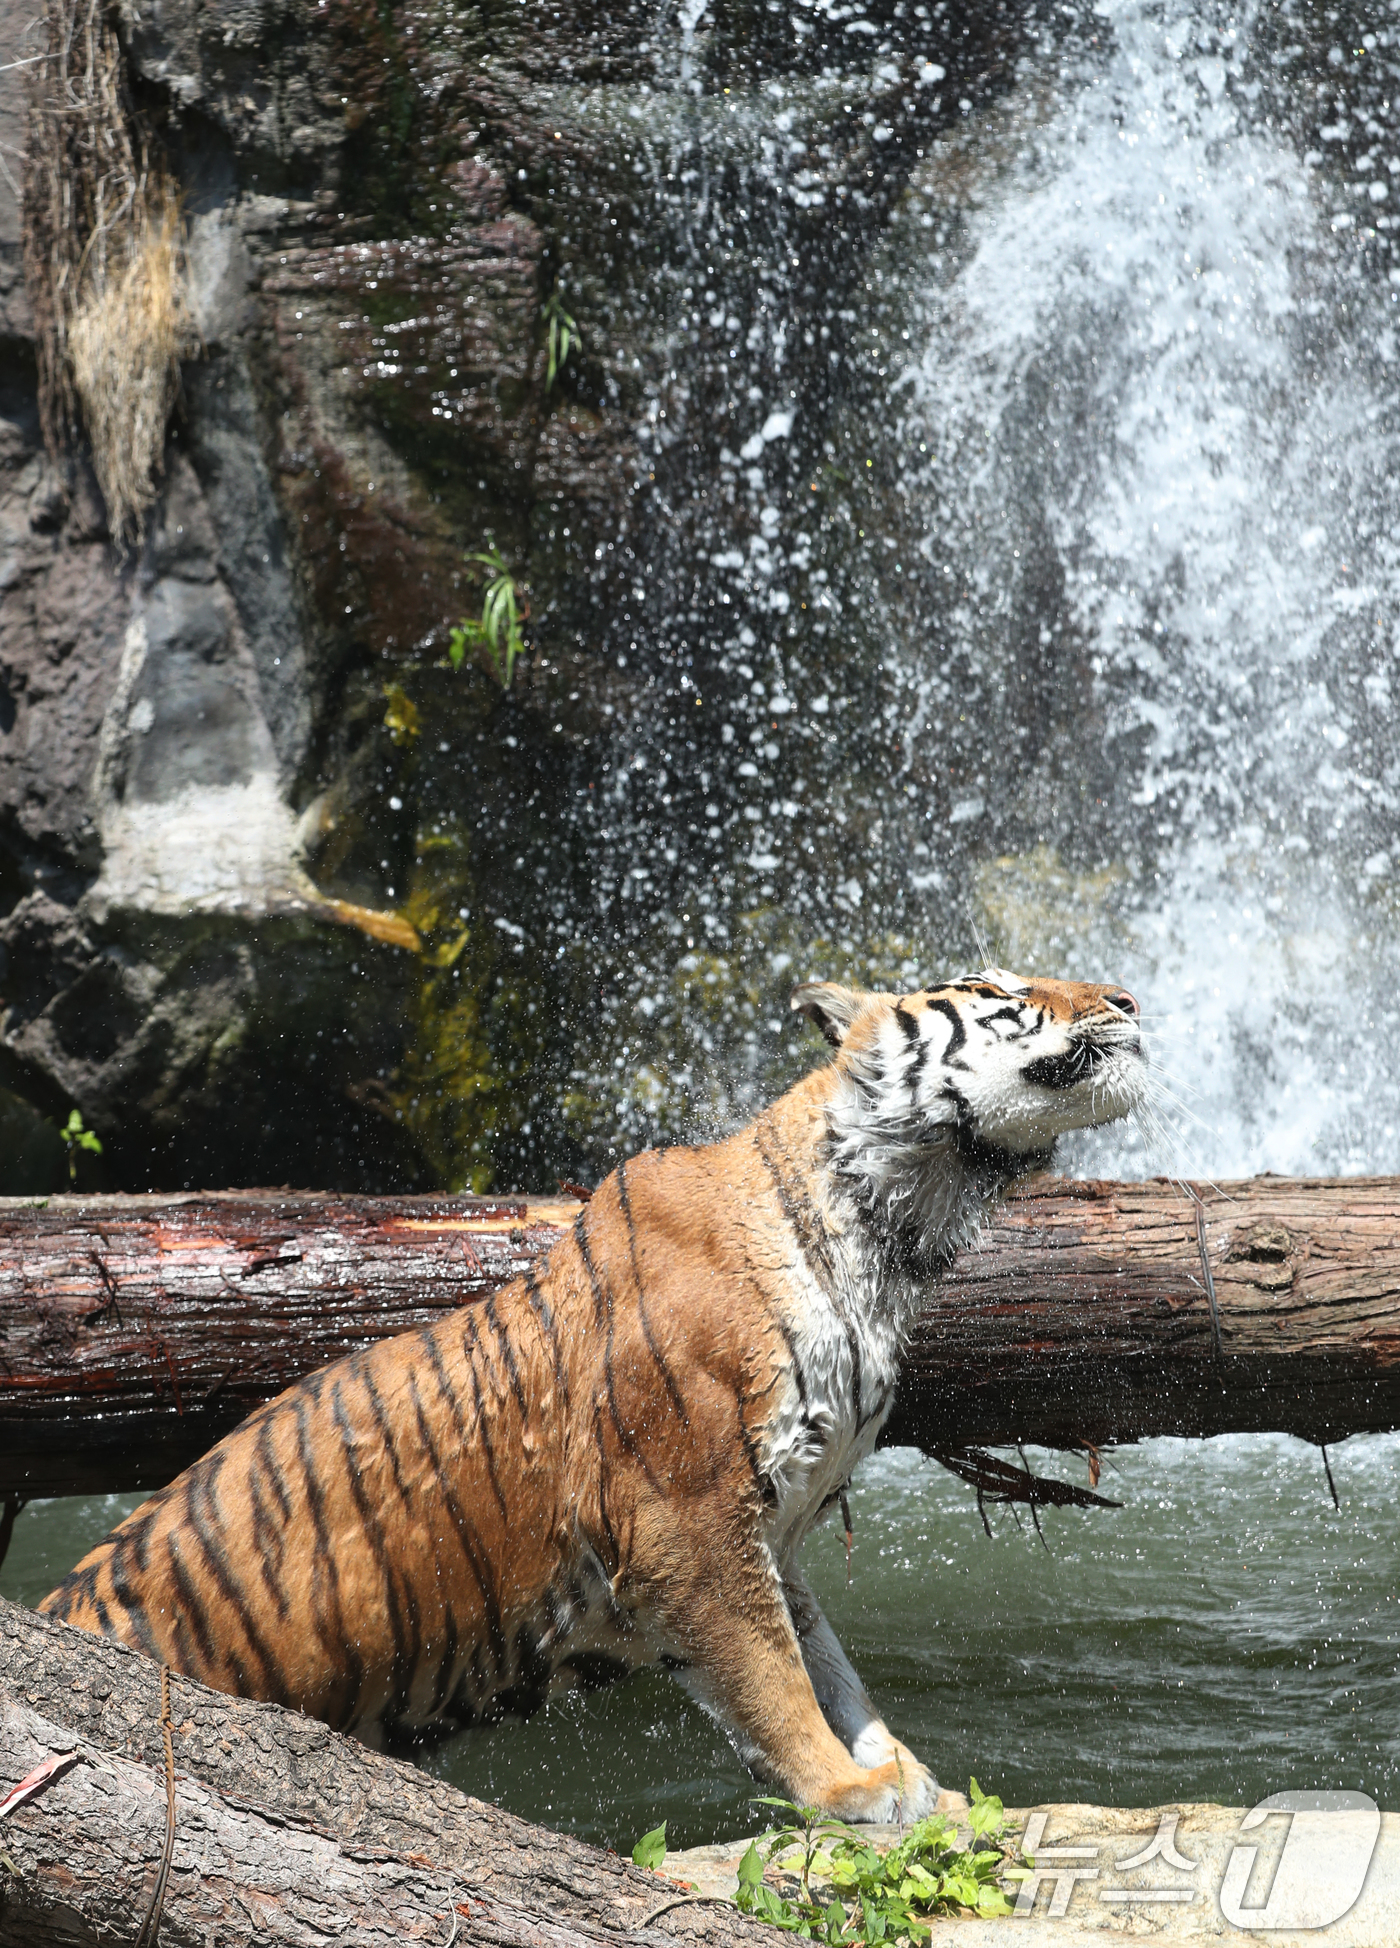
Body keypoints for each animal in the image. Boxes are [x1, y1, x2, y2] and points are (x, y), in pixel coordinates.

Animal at [41, 974, 1152, 1823]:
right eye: (1007, 991)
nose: (1131, 1000)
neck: (894, 1234)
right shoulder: (684, 1521)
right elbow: (776, 1676)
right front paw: (849, 1791)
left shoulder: (774, 1529)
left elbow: (831, 1670)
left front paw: (915, 1781)